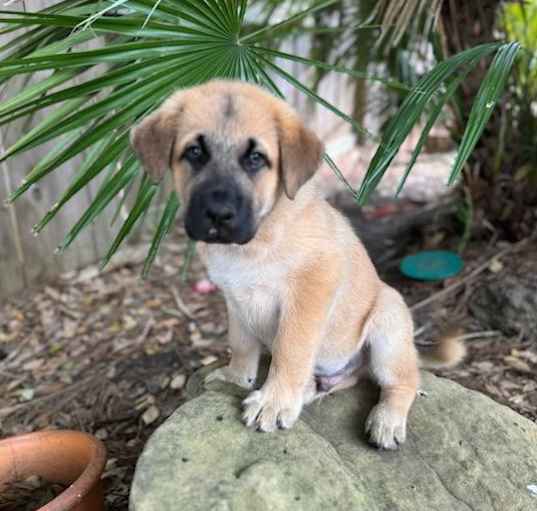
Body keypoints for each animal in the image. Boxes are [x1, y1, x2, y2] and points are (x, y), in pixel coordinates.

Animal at [131, 79, 464, 448]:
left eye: (256, 159)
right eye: (194, 152)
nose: (218, 214)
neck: (257, 239)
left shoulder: (311, 289)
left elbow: (290, 348)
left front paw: (274, 401)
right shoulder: (234, 298)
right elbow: (241, 343)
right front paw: (237, 378)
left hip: (388, 322)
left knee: (404, 381)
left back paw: (386, 419)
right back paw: (308, 391)